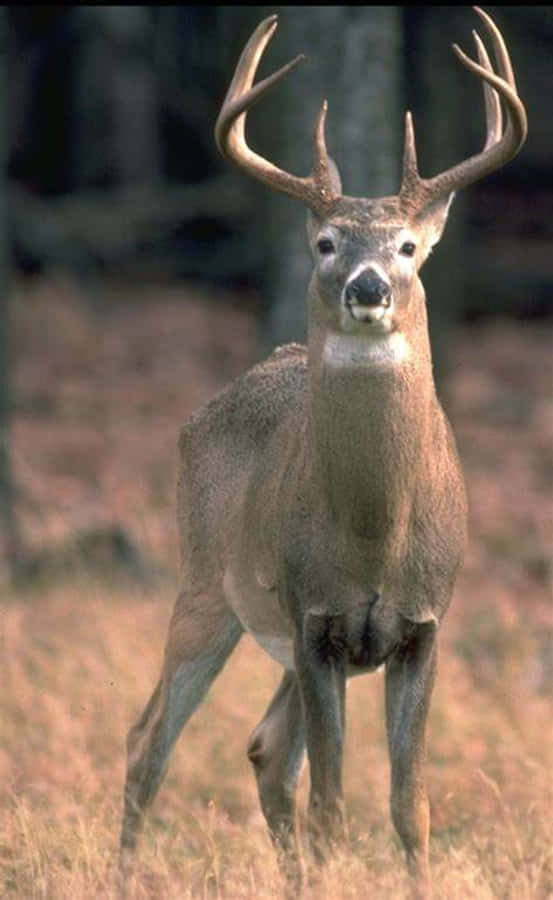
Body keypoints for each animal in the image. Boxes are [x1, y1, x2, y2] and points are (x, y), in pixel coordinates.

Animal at [118, 8, 526, 897]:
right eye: (326, 243)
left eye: (407, 247)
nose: (366, 288)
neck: (373, 535)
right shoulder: (316, 621)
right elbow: (335, 807)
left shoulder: (422, 625)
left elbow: (409, 807)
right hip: (206, 583)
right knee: (148, 740)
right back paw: (120, 875)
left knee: (267, 752)